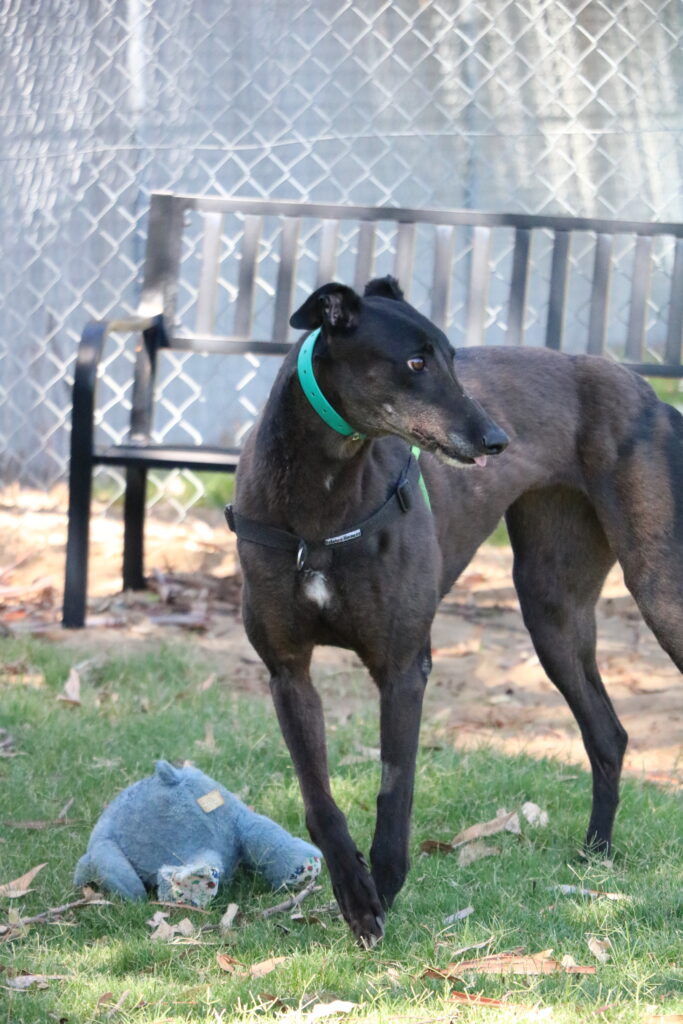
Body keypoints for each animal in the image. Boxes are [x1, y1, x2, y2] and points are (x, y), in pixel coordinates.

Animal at [228, 275, 683, 945]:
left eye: (450, 355)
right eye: (416, 363)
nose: (498, 439)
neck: (322, 499)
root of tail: (650, 391)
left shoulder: (403, 667)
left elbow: (396, 790)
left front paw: (384, 885)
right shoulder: (288, 672)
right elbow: (319, 800)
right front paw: (356, 895)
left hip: (660, 589)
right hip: (551, 609)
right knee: (607, 733)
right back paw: (595, 853)